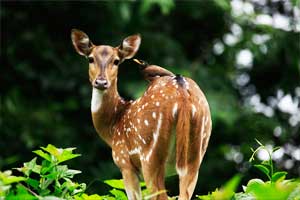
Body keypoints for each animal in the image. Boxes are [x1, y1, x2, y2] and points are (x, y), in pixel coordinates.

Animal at [70, 28, 212, 199]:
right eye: (90, 59)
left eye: (116, 61)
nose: (101, 82)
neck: (113, 126)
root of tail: (182, 94)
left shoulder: (124, 161)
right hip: (195, 155)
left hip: (149, 155)